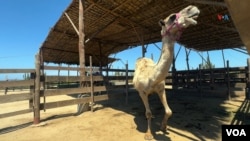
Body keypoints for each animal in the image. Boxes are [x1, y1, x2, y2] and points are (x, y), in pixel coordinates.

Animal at [132, 5, 200, 140]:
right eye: (172, 17)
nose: (193, 8)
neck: (152, 78)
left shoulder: (161, 89)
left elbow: (169, 111)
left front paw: (163, 127)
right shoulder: (142, 92)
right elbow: (148, 113)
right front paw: (148, 134)